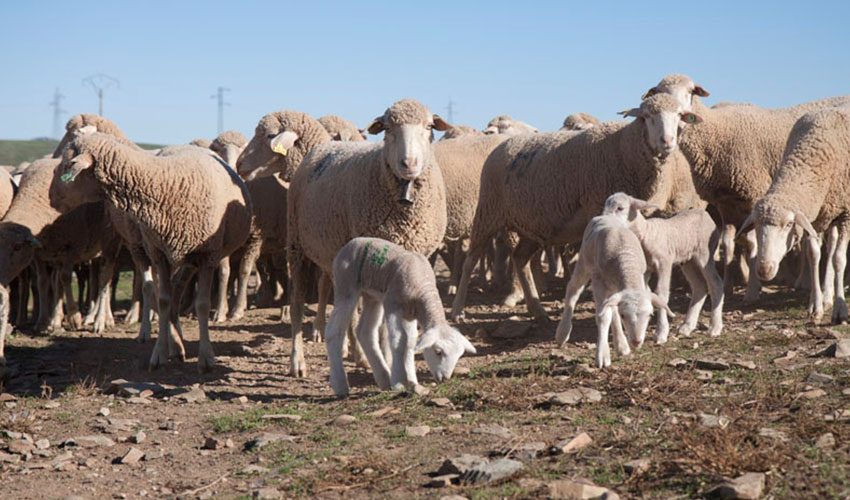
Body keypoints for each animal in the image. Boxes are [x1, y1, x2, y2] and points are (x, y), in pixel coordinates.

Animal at [324, 236, 474, 396]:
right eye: (438, 352)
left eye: (459, 355)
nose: (445, 378)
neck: (423, 289)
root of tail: (351, 242)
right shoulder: (392, 303)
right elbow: (399, 339)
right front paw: (399, 382)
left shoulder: (410, 313)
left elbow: (410, 341)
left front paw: (413, 382)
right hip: (346, 286)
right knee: (333, 331)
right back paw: (340, 385)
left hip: (372, 296)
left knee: (365, 331)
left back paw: (384, 379)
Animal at [454, 93, 700, 324]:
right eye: (646, 116)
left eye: (679, 115)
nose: (667, 140)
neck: (623, 147)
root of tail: (502, 144)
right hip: (488, 212)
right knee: (470, 260)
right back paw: (458, 310)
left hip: (533, 224)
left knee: (519, 259)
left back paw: (537, 309)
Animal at [552, 215, 672, 368]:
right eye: (624, 315)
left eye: (650, 315)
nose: (637, 341)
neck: (626, 261)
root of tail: (605, 216)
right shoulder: (598, 281)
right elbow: (603, 316)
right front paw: (602, 355)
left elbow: (611, 312)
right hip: (585, 260)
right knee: (573, 289)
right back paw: (563, 332)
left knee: (611, 307)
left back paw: (621, 345)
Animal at [596, 191, 724, 340]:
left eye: (620, 208)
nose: (603, 219)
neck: (646, 234)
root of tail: (706, 214)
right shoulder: (645, 270)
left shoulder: (664, 262)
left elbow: (661, 294)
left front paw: (661, 332)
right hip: (688, 260)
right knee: (699, 286)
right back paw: (686, 327)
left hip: (705, 253)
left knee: (715, 283)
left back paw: (714, 327)